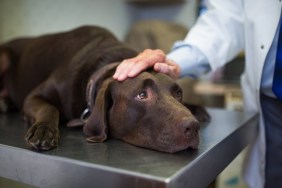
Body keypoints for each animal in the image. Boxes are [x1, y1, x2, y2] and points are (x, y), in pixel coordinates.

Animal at [0, 26, 208, 153]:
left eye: (178, 93)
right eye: (142, 95)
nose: (193, 126)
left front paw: (197, 108)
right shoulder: (34, 96)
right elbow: (49, 108)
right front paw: (44, 130)